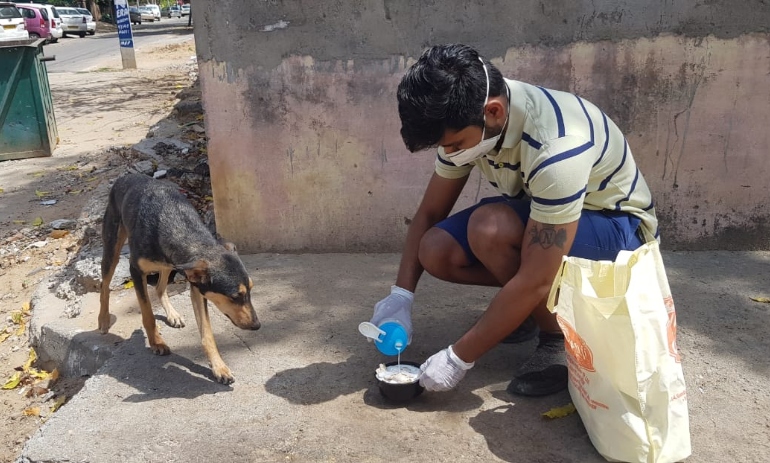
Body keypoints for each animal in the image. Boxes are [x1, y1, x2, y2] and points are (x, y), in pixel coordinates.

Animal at [99, 174, 260, 384]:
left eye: (250, 289)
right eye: (234, 296)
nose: (257, 325)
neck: (180, 228)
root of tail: (124, 176)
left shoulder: (197, 286)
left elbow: (207, 332)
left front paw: (219, 367)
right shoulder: (135, 270)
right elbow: (148, 313)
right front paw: (156, 342)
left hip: (168, 265)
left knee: (159, 287)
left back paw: (172, 314)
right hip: (113, 248)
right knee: (104, 285)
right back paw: (103, 320)